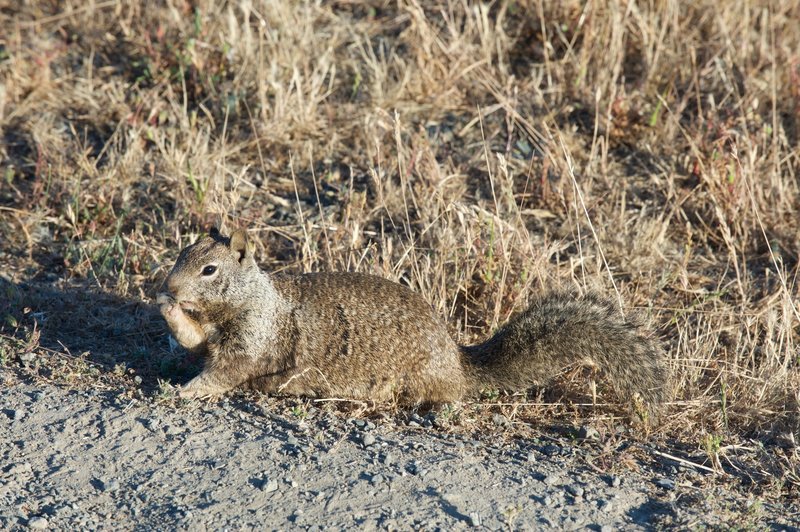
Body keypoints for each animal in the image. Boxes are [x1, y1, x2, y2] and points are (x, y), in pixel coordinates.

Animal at [156, 227, 668, 414]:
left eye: (209, 269)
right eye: (182, 252)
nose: (171, 285)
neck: (253, 299)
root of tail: (457, 364)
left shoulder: (253, 338)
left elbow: (224, 372)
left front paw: (184, 391)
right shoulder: (216, 332)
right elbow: (195, 342)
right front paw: (168, 308)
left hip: (412, 379)